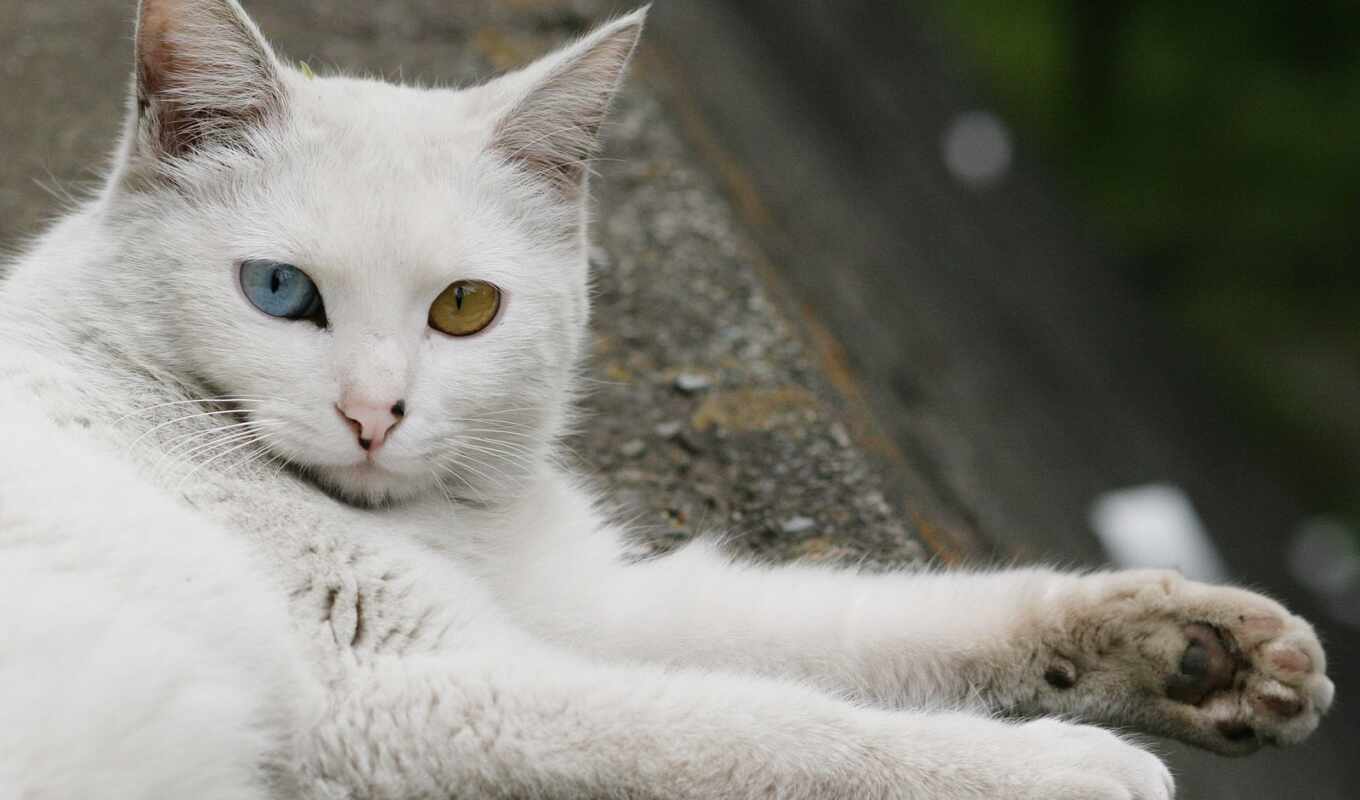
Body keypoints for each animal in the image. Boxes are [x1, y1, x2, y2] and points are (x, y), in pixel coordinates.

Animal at [0, 0, 1338, 794]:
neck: (445, 524)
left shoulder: (593, 602)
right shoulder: (418, 695)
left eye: (464, 309)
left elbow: (868, 628)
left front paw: (1201, 651)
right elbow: (770, 729)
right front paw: (1063, 768)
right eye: (279, 291)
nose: (374, 414)